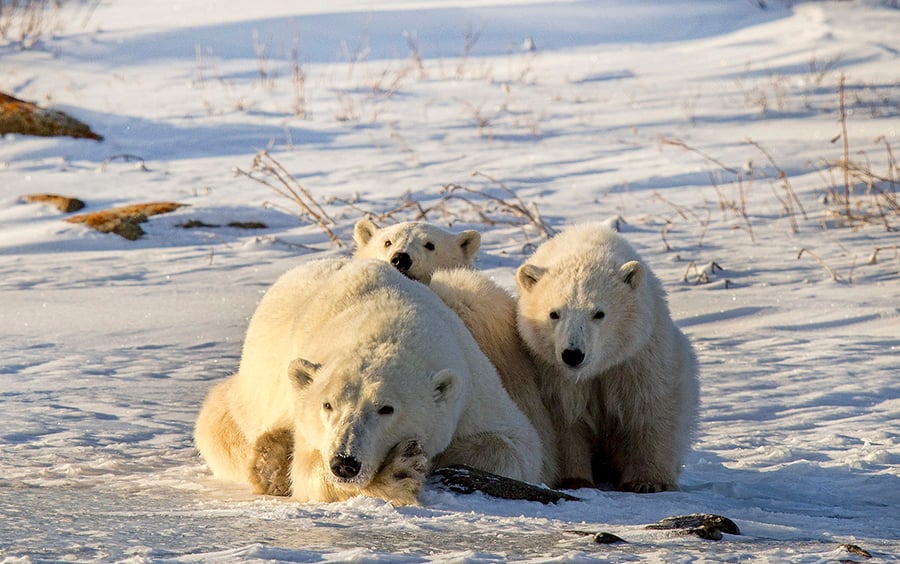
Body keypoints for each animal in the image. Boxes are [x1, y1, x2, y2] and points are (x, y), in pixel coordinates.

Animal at [195, 258, 540, 504]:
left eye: (386, 409)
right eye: (328, 405)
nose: (345, 463)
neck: (387, 318)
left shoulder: (472, 384)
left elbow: (515, 444)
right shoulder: (307, 415)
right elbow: (307, 470)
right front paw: (398, 471)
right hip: (247, 397)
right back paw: (271, 460)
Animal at [516, 223, 700, 492]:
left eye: (598, 313)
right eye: (554, 313)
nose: (573, 354)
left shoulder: (637, 356)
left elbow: (649, 407)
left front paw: (647, 482)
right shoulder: (553, 373)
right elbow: (566, 418)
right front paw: (575, 479)